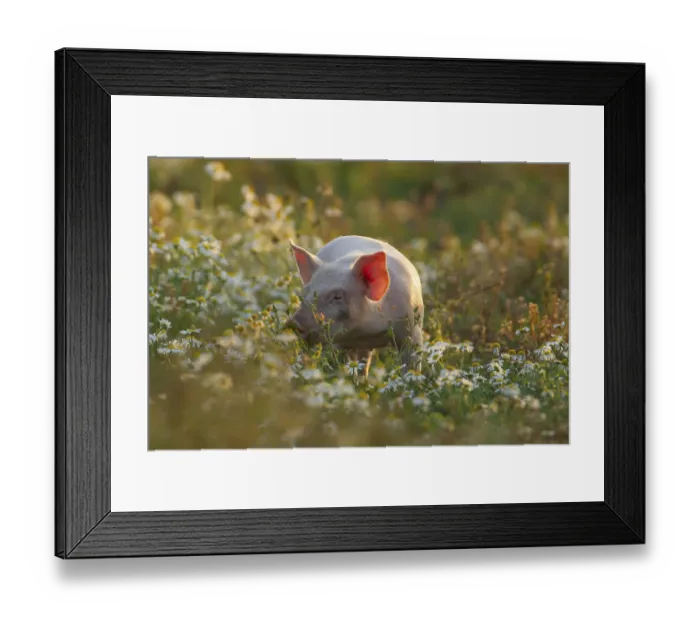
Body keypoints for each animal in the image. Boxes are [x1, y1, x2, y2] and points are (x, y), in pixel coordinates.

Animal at [286, 235, 424, 376]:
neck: (365, 332)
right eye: (307, 292)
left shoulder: (412, 328)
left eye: (337, 296)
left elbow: (412, 363)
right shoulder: (339, 343)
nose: (293, 323)